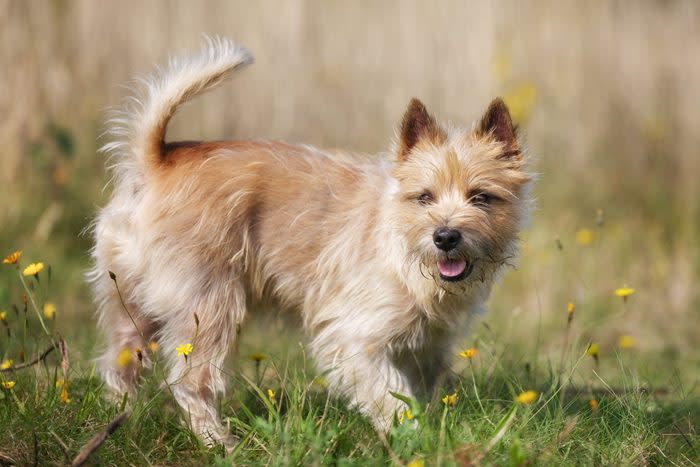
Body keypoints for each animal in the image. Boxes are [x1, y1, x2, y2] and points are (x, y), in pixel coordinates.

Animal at [89, 38, 532, 448]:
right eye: (423, 197)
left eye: (481, 197)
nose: (445, 236)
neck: (405, 251)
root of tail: (156, 160)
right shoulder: (355, 337)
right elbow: (391, 395)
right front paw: (411, 437)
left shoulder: (427, 347)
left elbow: (420, 390)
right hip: (209, 307)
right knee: (189, 381)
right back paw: (219, 442)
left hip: (131, 306)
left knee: (118, 363)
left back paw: (119, 421)